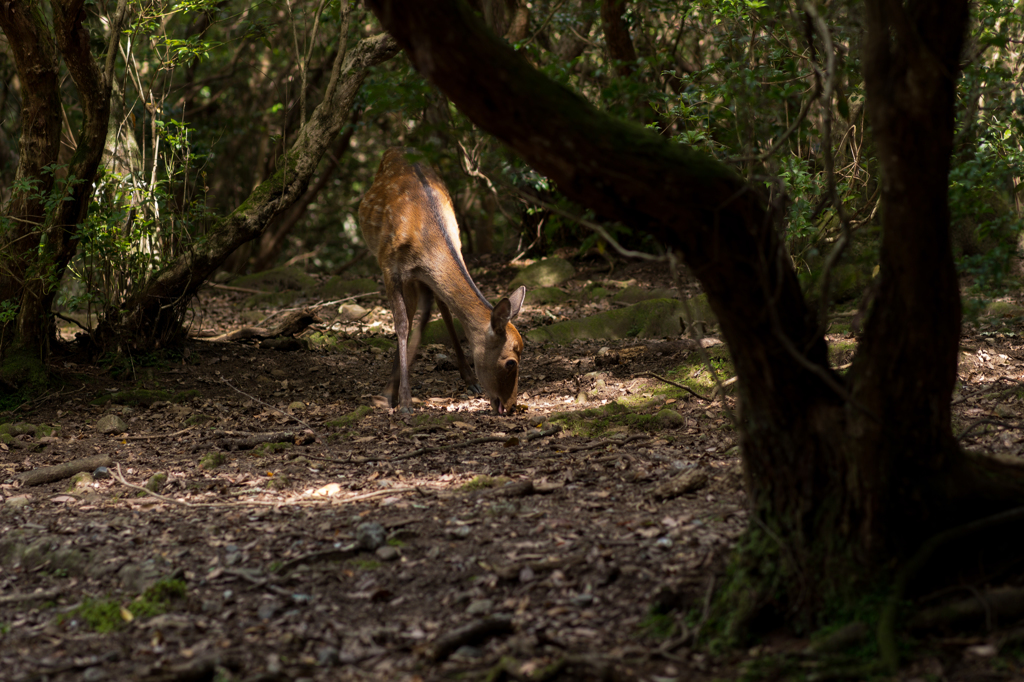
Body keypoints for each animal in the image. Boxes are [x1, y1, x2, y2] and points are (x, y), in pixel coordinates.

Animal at [358, 148, 528, 411]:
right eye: (511, 362)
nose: (509, 406)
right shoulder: (389, 266)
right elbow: (402, 325)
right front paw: (400, 399)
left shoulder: (425, 273)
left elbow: (427, 318)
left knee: (438, 310)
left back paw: (469, 379)